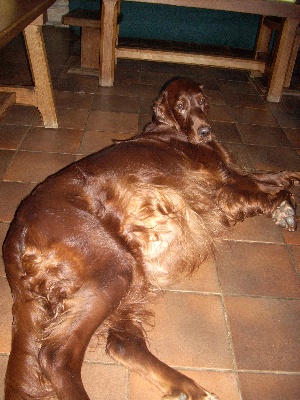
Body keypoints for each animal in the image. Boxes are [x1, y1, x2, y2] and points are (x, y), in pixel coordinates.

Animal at [2, 76, 300, 398]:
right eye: (180, 105)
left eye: (202, 101)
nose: (205, 131)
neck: (174, 130)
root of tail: (16, 233)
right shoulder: (224, 183)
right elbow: (261, 188)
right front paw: (284, 206)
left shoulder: (230, 174)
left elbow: (269, 176)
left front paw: (288, 179)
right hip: (113, 268)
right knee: (56, 356)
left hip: (129, 274)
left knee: (121, 344)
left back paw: (187, 387)